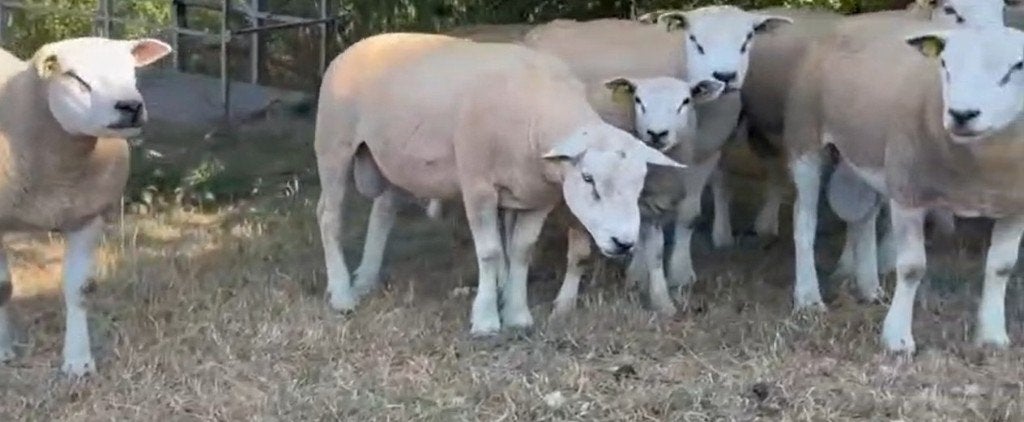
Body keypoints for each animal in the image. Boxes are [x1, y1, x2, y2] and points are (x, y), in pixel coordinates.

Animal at [0, 37, 172, 376]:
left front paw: (78, 360)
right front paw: (3, 350)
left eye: (132, 71)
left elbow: (79, 290)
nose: (130, 106)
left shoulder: (87, 217)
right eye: (75, 77)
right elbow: (1, 289)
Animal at [313, 32, 684, 335]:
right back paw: (342, 294)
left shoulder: (539, 196)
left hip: (392, 161)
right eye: (588, 179)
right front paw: (486, 320)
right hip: (334, 144)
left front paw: (518, 315)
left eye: (639, 183)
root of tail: (359, 44)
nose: (623, 243)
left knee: (384, 210)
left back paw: (364, 280)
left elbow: (521, 251)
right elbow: (491, 252)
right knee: (328, 216)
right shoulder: (478, 186)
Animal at [783, 14, 1024, 352]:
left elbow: (1001, 267)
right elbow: (912, 268)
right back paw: (808, 298)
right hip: (805, 136)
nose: (962, 114)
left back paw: (869, 287)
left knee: (863, 218)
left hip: (868, 156)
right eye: (944, 64)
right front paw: (897, 338)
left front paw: (992, 335)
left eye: (1017, 66)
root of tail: (857, 20)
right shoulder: (909, 193)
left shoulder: (1015, 205)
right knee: (804, 222)